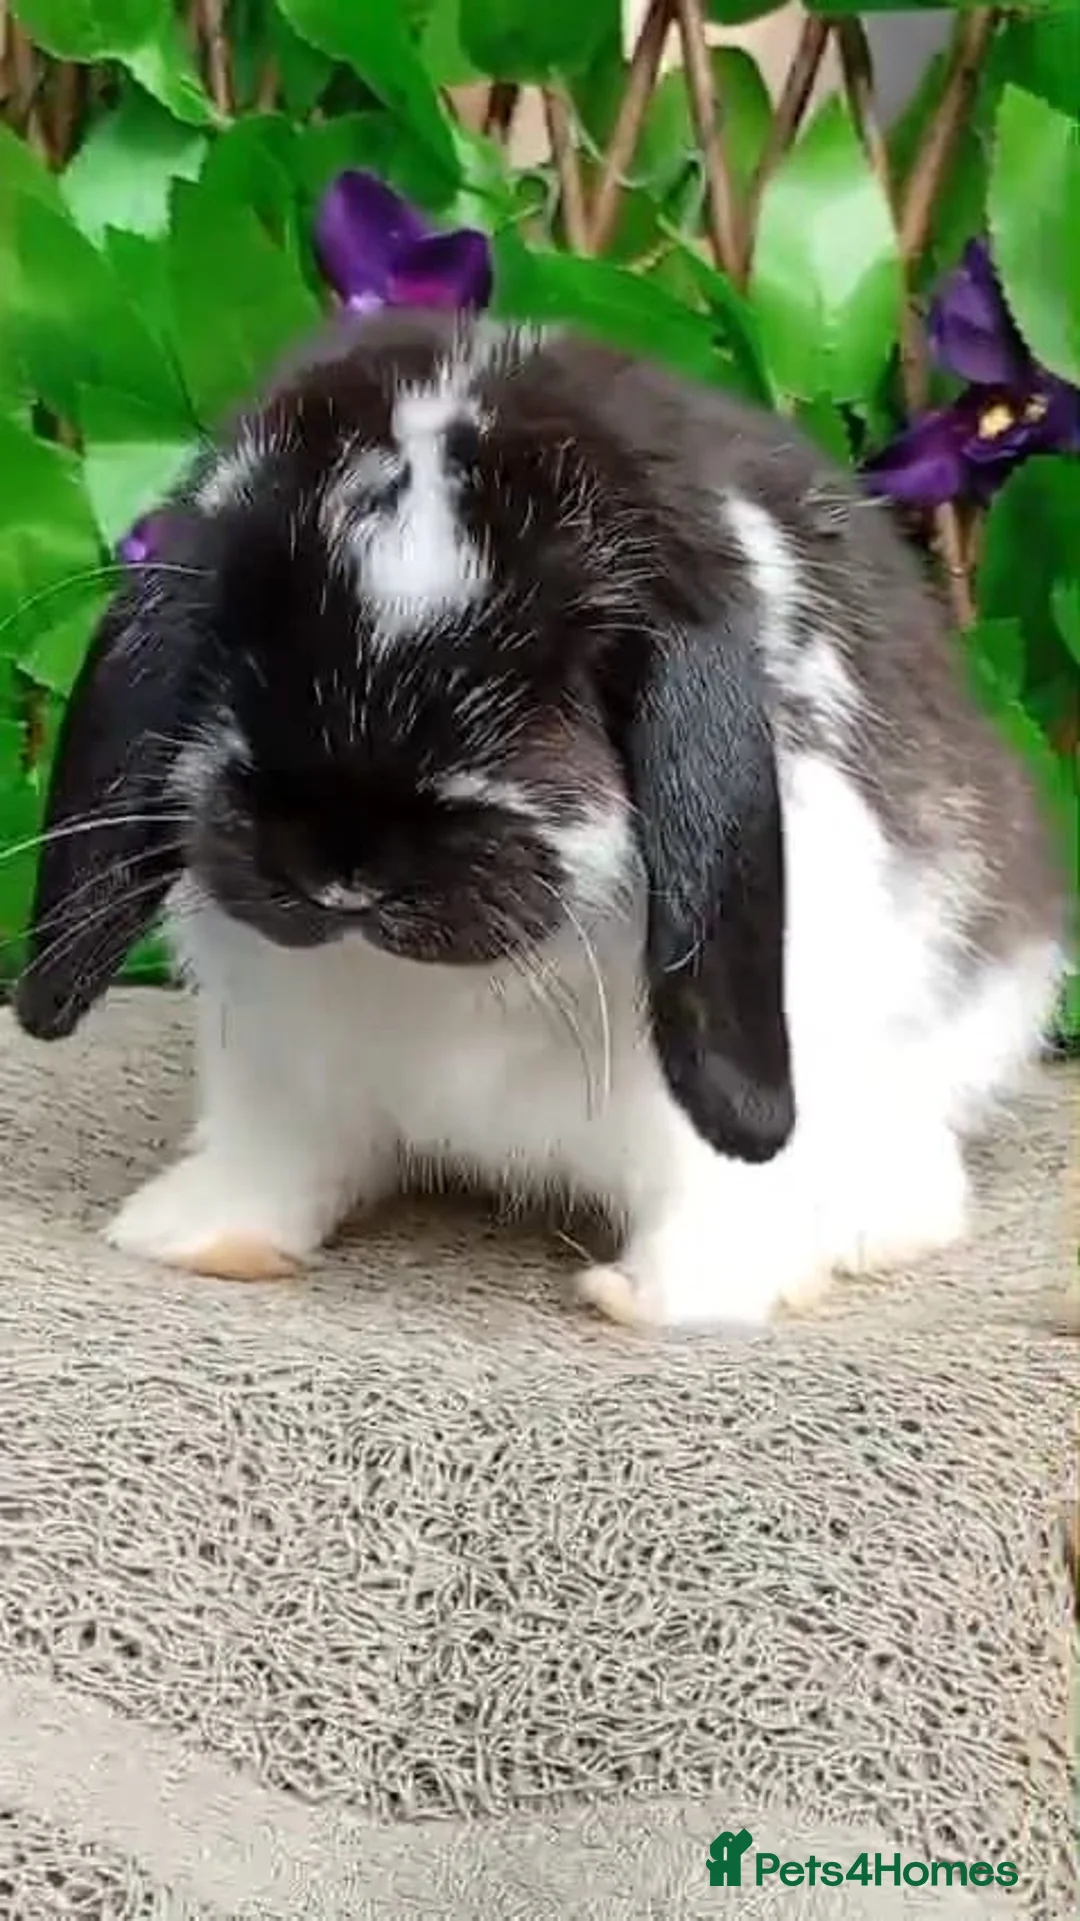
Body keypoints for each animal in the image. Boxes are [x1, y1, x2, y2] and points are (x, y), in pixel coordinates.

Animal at [12, 310, 1070, 1328]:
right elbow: (273, 1153)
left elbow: (717, 1182)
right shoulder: (272, 1061)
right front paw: (200, 1237)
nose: (344, 863)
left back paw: (875, 1218)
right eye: (240, 637)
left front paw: (674, 1301)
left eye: (561, 676)